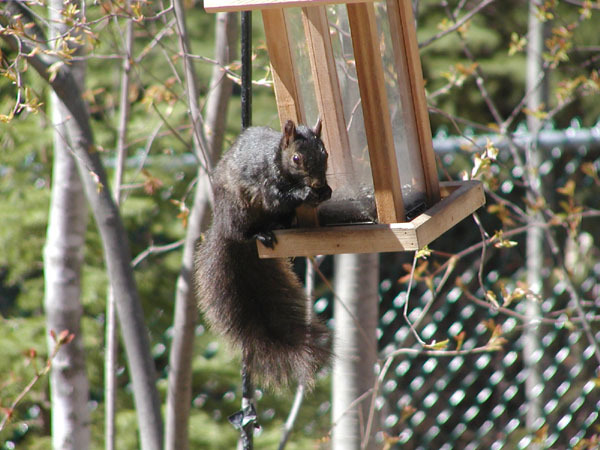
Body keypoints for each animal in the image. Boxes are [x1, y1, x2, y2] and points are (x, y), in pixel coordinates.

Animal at [193, 119, 330, 390]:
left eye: (326, 154)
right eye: (296, 158)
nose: (318, 183)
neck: (277, 159)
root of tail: (221, 224)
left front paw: (326, 191)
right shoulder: (266, 182)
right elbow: (277, 197)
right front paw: (305, 194)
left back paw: (282, 226)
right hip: (239, 210)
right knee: (243, 233)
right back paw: (259, 235)